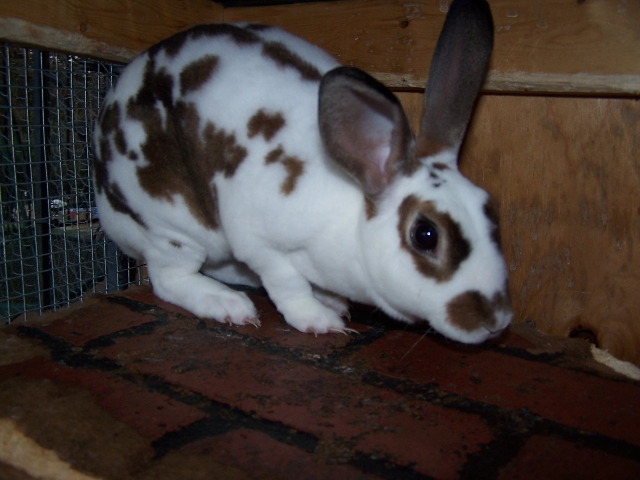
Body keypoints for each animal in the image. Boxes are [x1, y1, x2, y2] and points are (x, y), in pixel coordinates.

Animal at [94, 0, 510, 344]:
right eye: (425, 235)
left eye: (491, 211)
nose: (497, 321)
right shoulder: (260, 243)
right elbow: (288, 285)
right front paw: (320, 319)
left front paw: (332, 301)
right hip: (175, 229)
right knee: (168, 279)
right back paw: (230, 305)